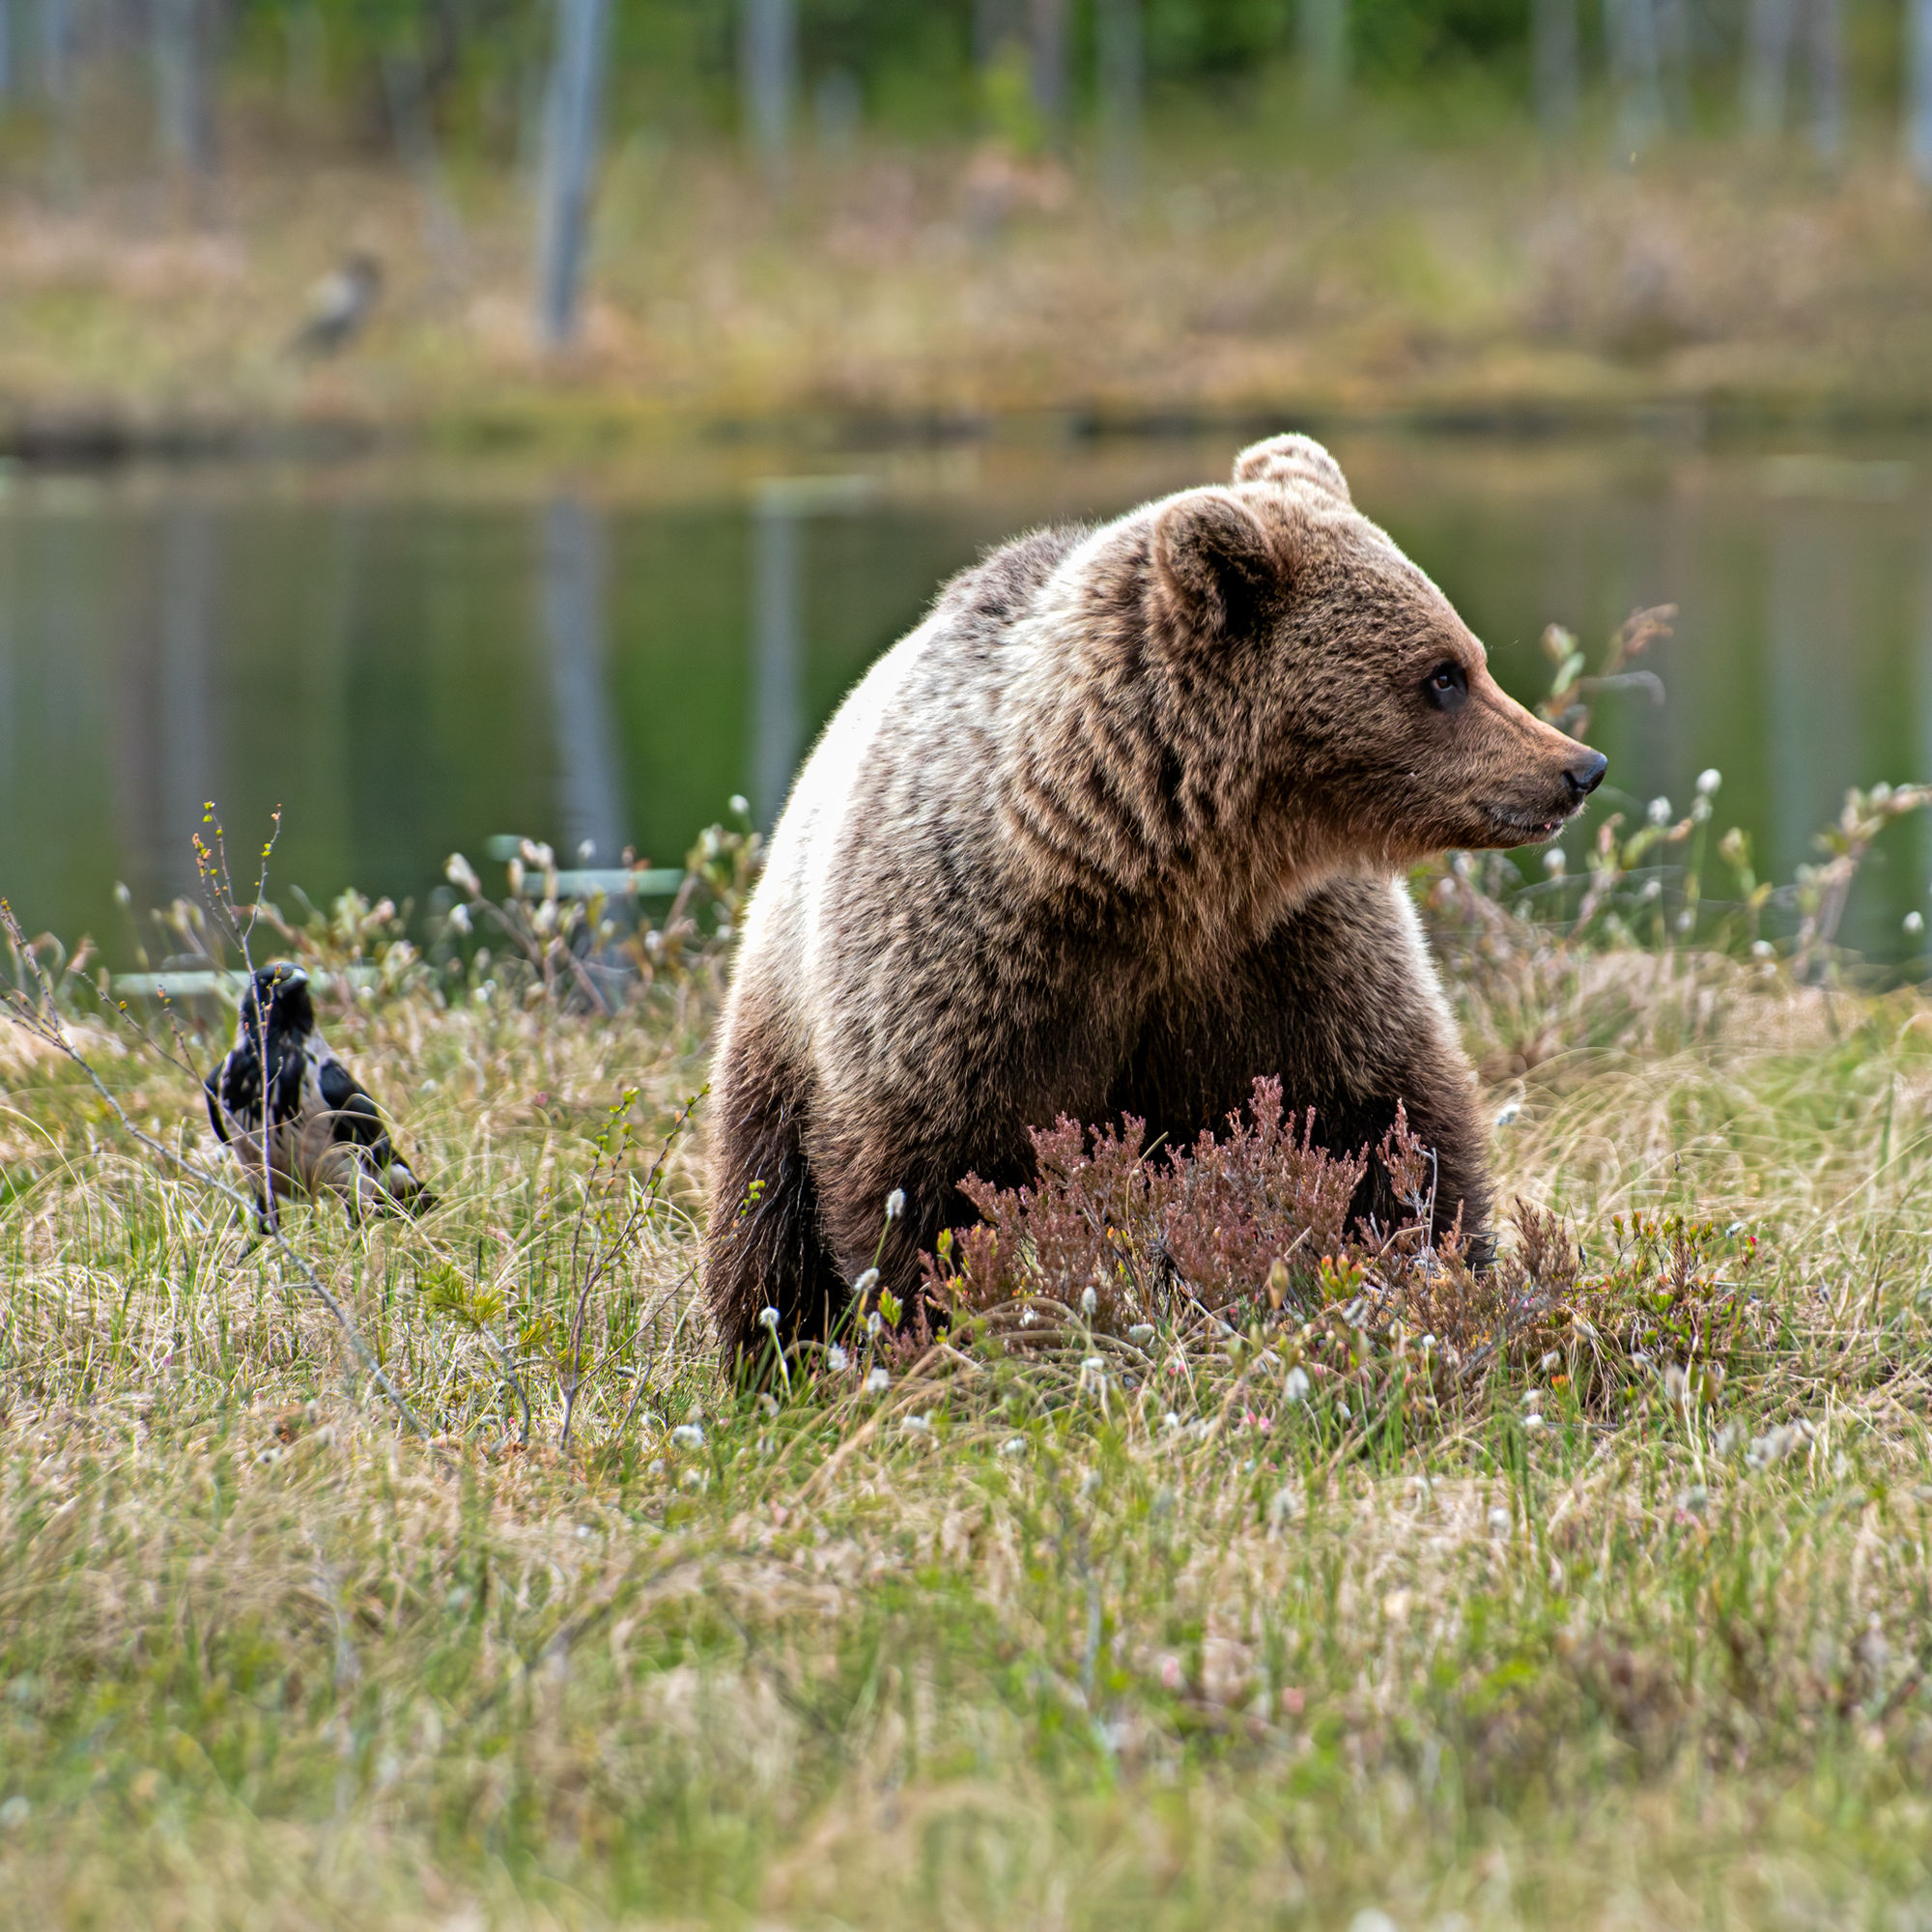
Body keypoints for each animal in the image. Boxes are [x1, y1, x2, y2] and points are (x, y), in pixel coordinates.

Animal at [702, 433, 1606, 1362]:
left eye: (1469, 658)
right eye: (1442, 675)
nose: (1578, 768)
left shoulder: (1294, 951)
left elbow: (1388, 1122)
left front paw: (1444, 1271)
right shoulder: (959, 969)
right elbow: (924, 1190)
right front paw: (946, 1331)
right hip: (778, 1033)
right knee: (766, 1217)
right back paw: (770, 1353)